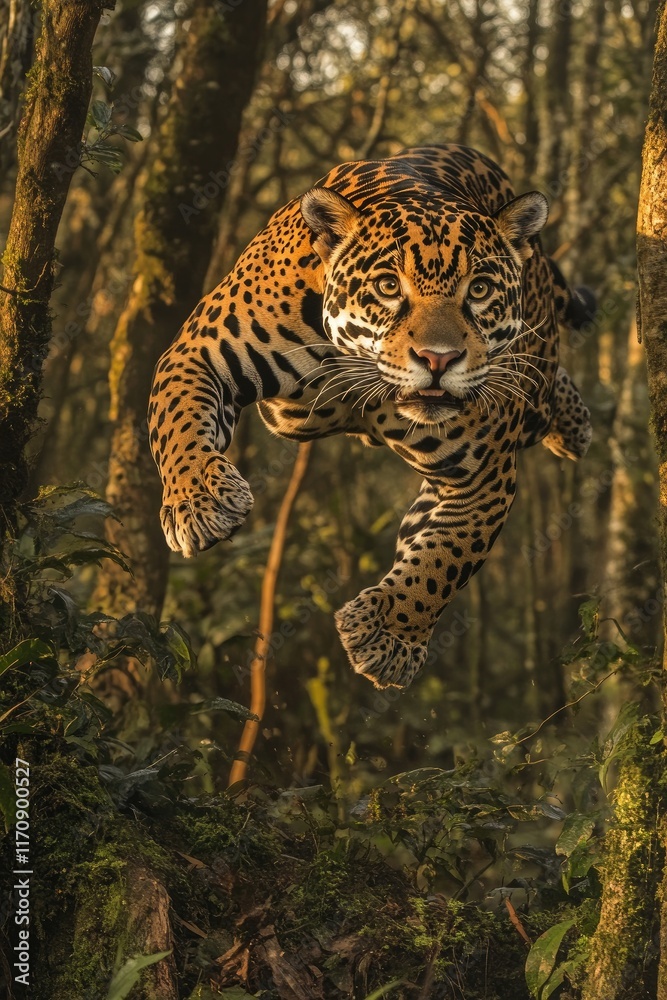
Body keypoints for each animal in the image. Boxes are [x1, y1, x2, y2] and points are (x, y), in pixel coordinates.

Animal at [148, 143, 593, 690]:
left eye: (480, 290)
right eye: (386, 286)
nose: (439, 359)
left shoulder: (483, 476)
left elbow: (444, 560)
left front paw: (387, 637)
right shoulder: (200, 352)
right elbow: (179, 427)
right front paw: (199, 503)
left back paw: (573, 426)